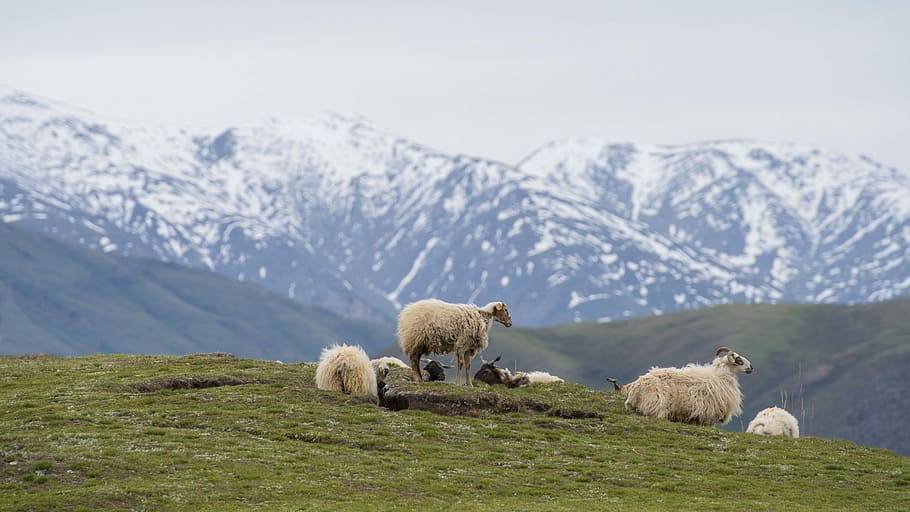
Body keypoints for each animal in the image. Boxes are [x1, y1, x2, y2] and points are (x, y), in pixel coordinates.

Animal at [622, 346, 754, 426]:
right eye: (739, 360)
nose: (751, 367)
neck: (720, 376)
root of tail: (635, 388)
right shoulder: (708, 415)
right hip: (659, 406)